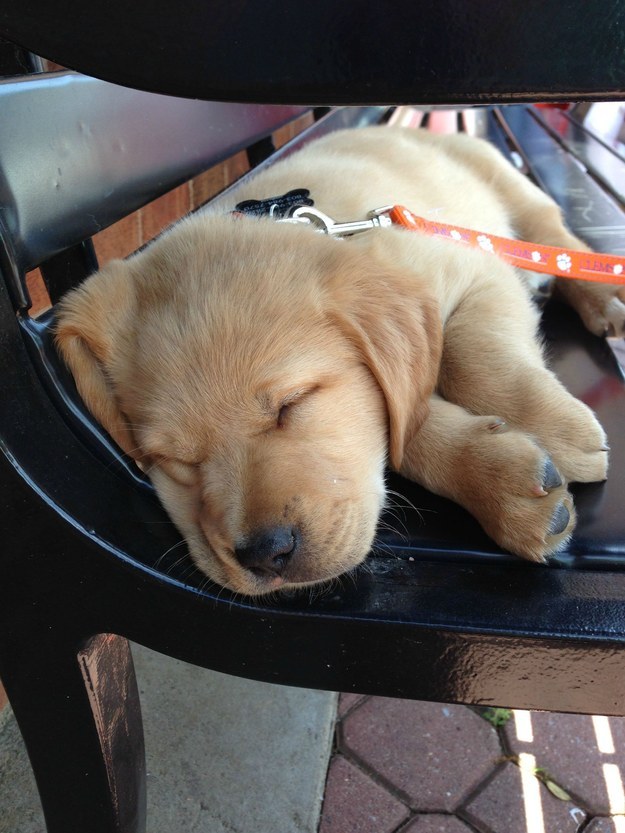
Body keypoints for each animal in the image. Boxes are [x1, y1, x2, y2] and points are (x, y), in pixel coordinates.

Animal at [56, 127, 620, 596]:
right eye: (173, 461)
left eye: (292, 403)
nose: (266, 554)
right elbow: (407, 425)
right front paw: (502, 484)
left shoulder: (476, 270)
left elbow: (464, 358)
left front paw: (558, 428)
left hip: (503, 181)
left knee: (550, 234)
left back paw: (603, 297)